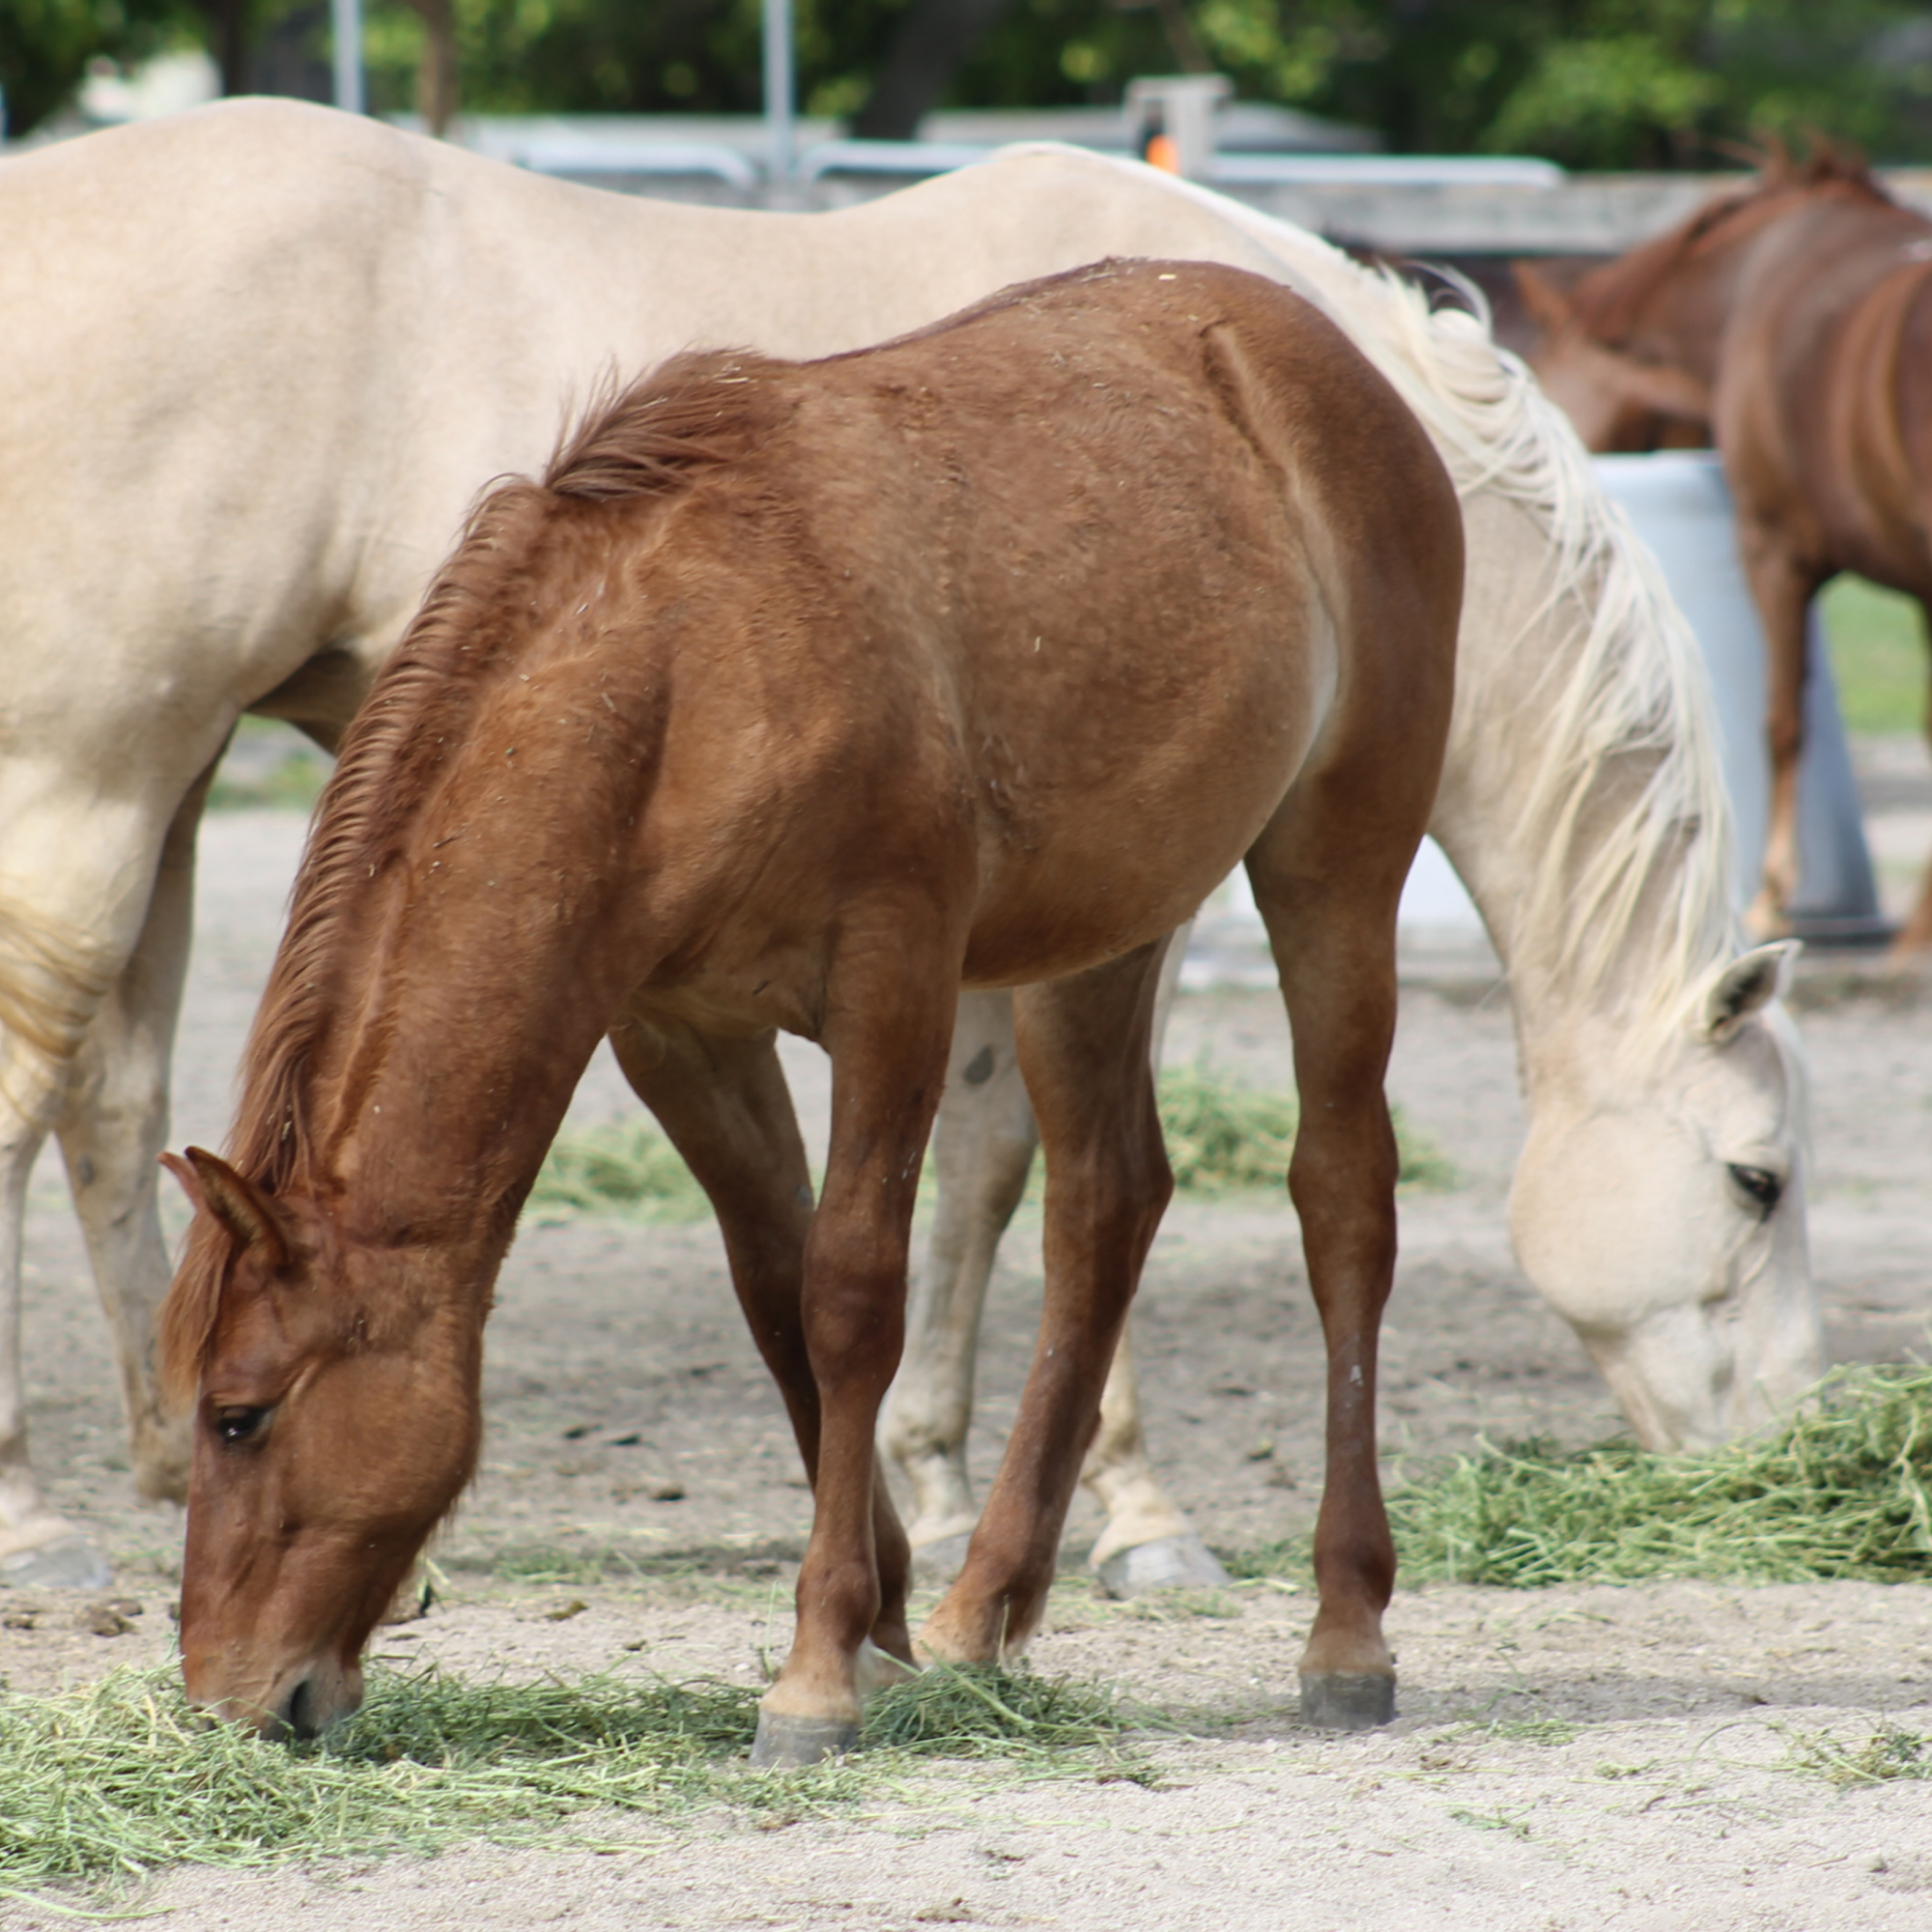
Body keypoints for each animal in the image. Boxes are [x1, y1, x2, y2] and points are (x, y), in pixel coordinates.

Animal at [0, 98, 1808, 1592]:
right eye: (1760, 1178)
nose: (1786, 1456)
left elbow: (989, 1163)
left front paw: (940, 1491)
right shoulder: (1102, 899)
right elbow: (1047, 1171)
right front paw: (1128, 1519)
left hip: (169, 782)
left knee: (115, 1110)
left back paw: (162, 1462)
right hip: (90, 784)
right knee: (34, 1094)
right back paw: (35, 1523)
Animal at [158, 257, 1453, 1770]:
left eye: (239, 1417)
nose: (229, 1698)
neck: (686, 674)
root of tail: (1306, 341)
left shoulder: (891, 984)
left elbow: (848, 1297)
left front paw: (819, 1672)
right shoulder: (679, 1032)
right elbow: (777, 1297)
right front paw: (885, 1624)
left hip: (1335, 864)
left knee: (1342, 1195)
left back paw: (1346, 1630)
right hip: (1102, 935)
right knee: (1105, 1207)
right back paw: (984, 1609)